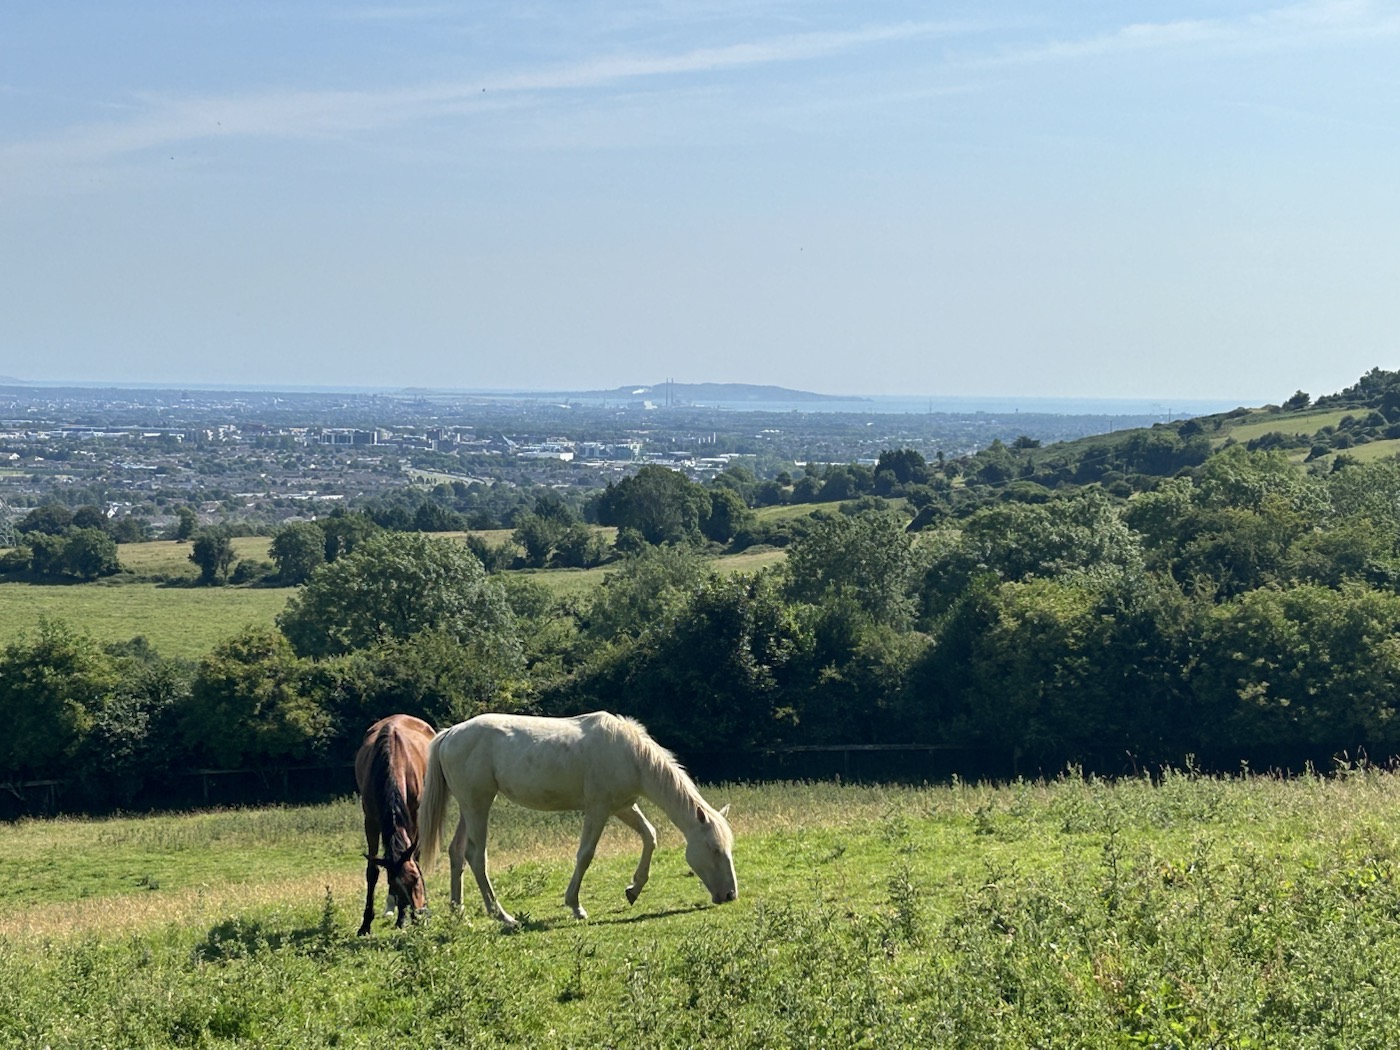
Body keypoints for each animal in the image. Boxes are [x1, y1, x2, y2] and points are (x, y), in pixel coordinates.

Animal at [353, 714, 436, 936]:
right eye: (395, 885)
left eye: (416, 878)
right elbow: (372, 871)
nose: (419, 914)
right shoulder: (371, 820)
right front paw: (366, 923)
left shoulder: (414, 816)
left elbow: (415, 856)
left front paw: (404, 918)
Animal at [418, 711, 737, 928]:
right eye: (714, 849)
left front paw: (633, 889)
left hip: (468, 807)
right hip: (478, 805)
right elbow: (585, 855)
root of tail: (450, 734)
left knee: (456, 852)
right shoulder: (598, 810)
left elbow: (650, 836)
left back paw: (458, 913)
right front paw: (576, 906)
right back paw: (504, 917)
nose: (730, 895)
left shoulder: (623, 807)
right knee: (476, 855)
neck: (631, 755)